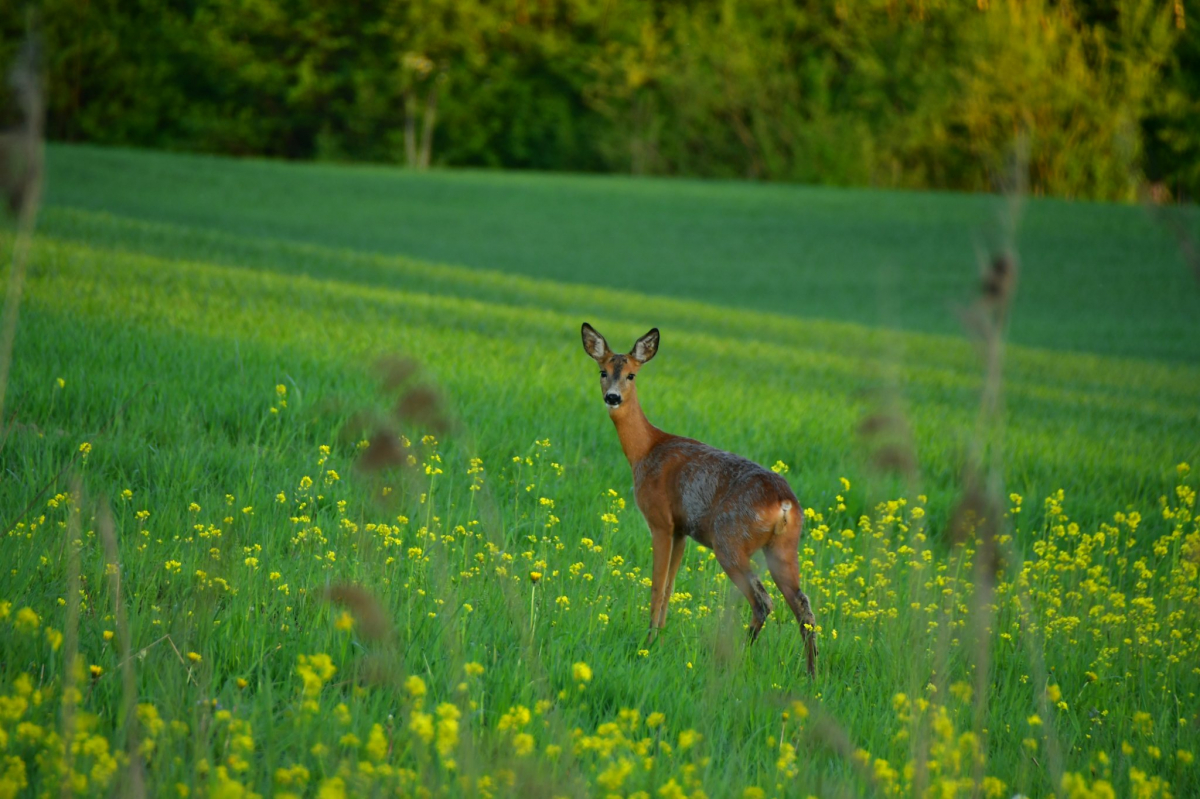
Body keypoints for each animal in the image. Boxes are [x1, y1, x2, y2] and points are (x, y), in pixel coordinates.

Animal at [578, 321, 820, 671]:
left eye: (631, 375)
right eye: (602, 371)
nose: (612, 397)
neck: (645, 450)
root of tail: (784, 502)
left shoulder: (661, 521)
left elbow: (656, 585)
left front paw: (648, 641)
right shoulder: (682, 530)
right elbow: (669, 587)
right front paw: (659, 638)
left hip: (729, 538)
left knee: (763, 600)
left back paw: (735, 659)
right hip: (784, 547)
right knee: (804, 607)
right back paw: (813, 674)